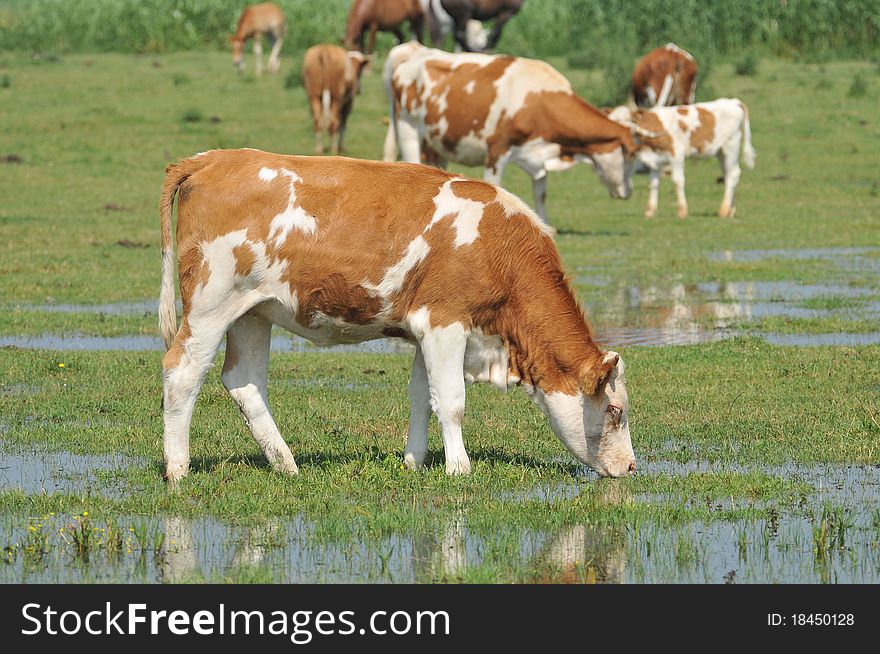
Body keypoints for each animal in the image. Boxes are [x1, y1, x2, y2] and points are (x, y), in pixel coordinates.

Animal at [158, 150, 636, 486]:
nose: (632, 467)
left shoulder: (425, 330)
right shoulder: (445, 322)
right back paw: (177, 468)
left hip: (253, 311)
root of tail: (211, 159)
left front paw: (415, 461)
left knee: (245, 381)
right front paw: (459, 468)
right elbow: (452, 400)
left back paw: (286, 464)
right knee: (183, 373)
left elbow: (422, 396)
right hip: (211, 305)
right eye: (615, 411)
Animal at [604, 98, 756, 219]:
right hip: (721, 152)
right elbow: (653, 183)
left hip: (731, 147)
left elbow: (677, 181)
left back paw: (724, 210)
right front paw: (650, 211)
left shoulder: (676, 154)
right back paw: (731, 210)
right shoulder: (656, 161)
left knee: (733, 175)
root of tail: (734, 101)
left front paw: (682, 211)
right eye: (611, 121)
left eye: (629, 120)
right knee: (729, 174)